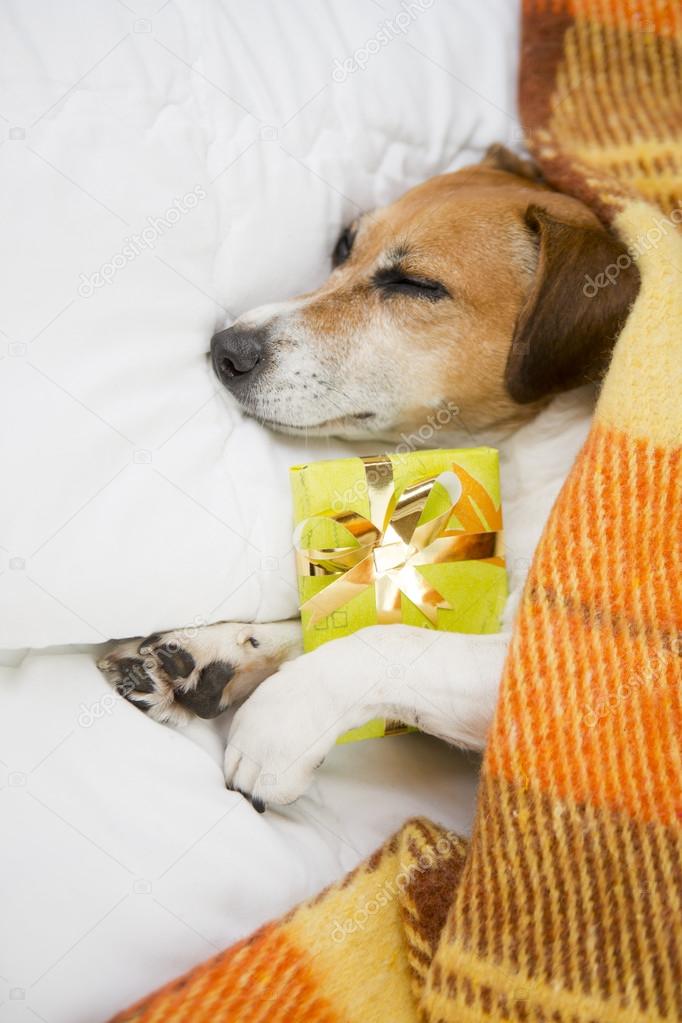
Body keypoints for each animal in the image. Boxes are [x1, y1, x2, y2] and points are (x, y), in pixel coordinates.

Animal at [97, 148, 642, 810]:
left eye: (416, 285)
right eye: (343, 245)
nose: (225, 348)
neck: (526, 463)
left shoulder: (570, 672)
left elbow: (388, 643)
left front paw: (280, 720)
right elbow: (332, 618)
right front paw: (219, 649)